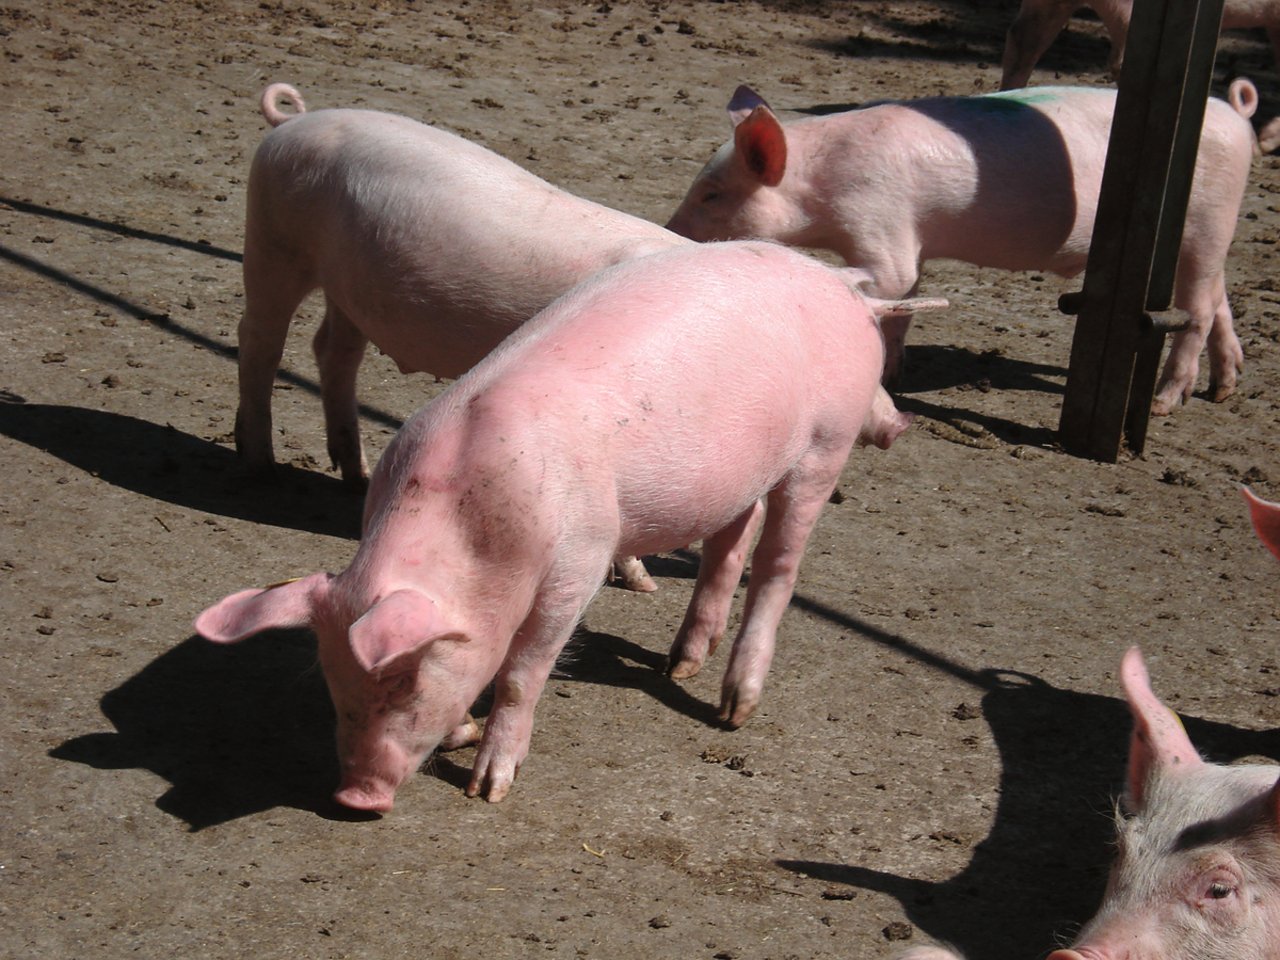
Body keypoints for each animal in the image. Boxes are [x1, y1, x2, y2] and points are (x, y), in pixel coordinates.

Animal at [194, 240, 931, 814]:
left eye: (407, 681)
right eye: (331, 682)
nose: (354, 797)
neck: (477, 528)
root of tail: (845, 287)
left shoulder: (581, 557)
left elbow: (525, 669)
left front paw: (486, 789)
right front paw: (463, 736)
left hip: (824, 445)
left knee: (780, 565)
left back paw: (731, 710)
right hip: (739, 472)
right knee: (729, 542)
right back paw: (681, 664)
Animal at [238, 84, 691, 593]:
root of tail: (292, 123)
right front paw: (644, 584)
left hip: (347, 288)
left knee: (333, 352)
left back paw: (356, 476)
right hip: (274, 243)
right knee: (258, 341)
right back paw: (263, 470)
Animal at [670, 80, 1259, 414]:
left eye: (712, 193)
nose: (671, 229)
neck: (818, 182)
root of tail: (1236, 116)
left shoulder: (880, 223)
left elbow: (890, 284)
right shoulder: (912, 245)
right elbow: (907, 299)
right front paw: (894, 373)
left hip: (1208, 220)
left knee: (1198, 308)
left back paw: (1165, 403)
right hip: (1211, 232)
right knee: (1219, 298)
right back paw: (1224, 389)